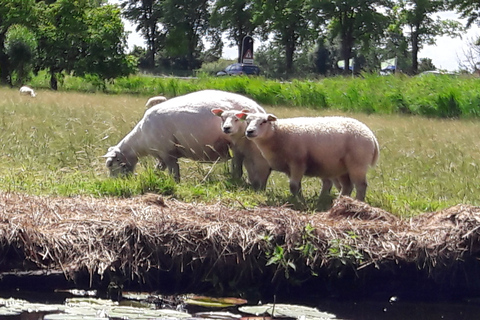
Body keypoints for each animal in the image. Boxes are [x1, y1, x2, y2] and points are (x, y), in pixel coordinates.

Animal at [102, 89, 264, 182]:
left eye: (110, 164)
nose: (114, 183)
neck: (141, 140)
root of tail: (259, 108)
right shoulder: (162, 154)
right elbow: (159, 169)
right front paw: (156, 177)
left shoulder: (167, 152)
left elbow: (174, 171)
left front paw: (175, 183)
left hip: (239, 143)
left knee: (238, 164)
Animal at [238, 112, 380, 202]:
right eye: (247, 121)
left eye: (264, 121)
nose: (249, 132)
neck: (278, 134)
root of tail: (371, 135)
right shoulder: (290, 167)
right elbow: (296, 186)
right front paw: (298, 198)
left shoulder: (298, 162)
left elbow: (293, 186)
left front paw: (299, 201)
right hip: (342, 167)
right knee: (347, 186)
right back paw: (340, 201)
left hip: (357, 163)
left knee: (361, 185)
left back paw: (358, 202)